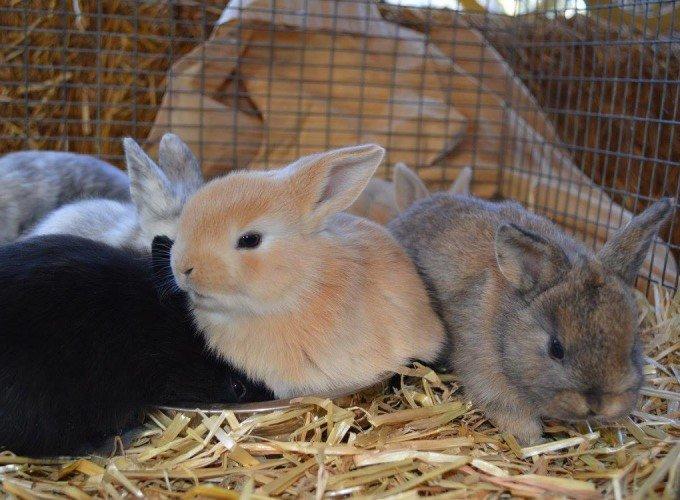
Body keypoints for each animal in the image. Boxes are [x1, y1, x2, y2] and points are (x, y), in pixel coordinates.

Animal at [388, 193, 676, 444]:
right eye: (556, 349)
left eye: (632, 345)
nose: (599, 404)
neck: (508, 327)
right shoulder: (491, 381)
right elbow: (512, 413)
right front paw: (532, 440)